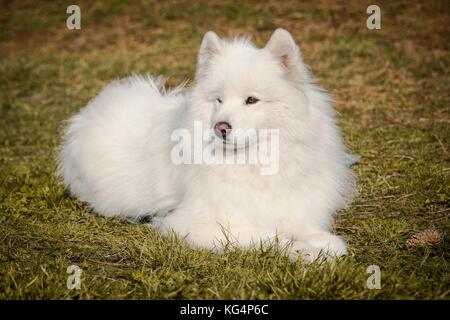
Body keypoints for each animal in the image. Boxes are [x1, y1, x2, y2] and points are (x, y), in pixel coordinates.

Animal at [59, 28, 356, 262]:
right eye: (219, 100)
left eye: (251, 100)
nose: (221, 127)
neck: (254, 163)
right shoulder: (193, 224)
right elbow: (269, 236)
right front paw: (303, 251)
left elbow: (310, 232)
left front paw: (322, 245)